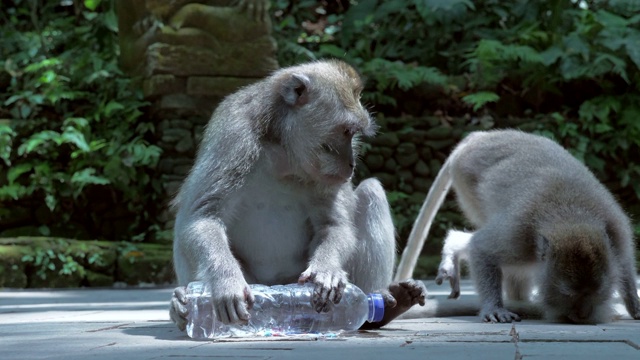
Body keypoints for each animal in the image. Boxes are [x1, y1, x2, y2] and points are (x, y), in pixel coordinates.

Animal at [170, 59, 428, 332]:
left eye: (353, 134)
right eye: (346, 131)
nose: (351, 164)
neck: (282, 155)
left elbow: (333, 224)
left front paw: (326, 269)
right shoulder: (235, 137)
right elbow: (204, 216)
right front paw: (227, 283)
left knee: (371, 191)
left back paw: (382, 306)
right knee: (185, 218)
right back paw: (181, 306)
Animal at [396, 129, 640, 324]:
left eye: (596, 292)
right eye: (569, 294)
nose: (583, 314)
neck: (571, 217)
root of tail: (478, 137)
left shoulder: (616, 232)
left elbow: (624, 264)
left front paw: (634, 306)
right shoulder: (518, 235)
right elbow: (482, 249)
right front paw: (495, 308)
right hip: (467, 181)